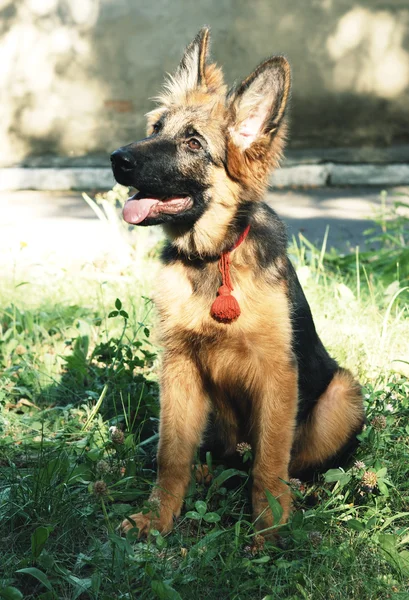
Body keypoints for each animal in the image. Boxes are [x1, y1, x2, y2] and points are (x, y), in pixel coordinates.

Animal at [109, 25, 364, 536]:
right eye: (155, 128)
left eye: (193, 144)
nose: (116, 159)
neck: (214, 259)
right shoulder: (179, 368)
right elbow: (171, 455)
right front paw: (159, 516)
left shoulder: (277, 376)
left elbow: (269, 463)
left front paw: (268, 530)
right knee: (216, 456)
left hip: (342, 394)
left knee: (300, 464)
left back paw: (301, 493)